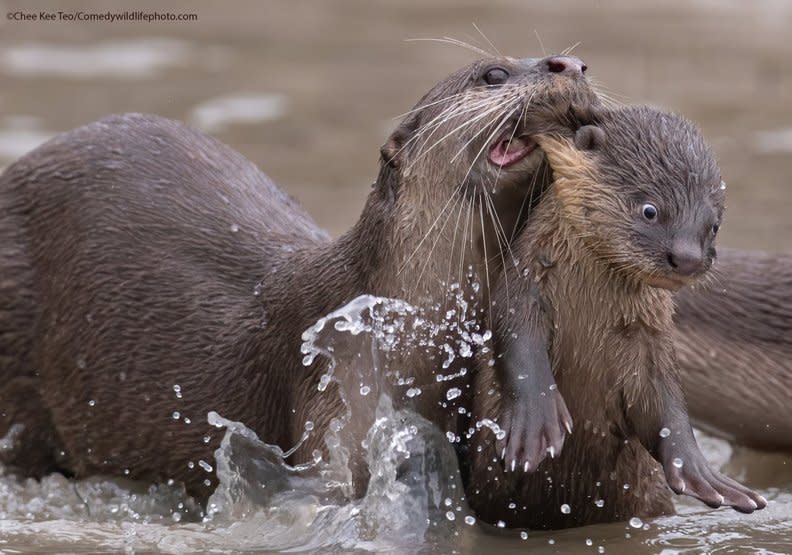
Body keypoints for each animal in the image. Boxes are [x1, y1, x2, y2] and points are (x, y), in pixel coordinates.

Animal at [470, 106, 768, 528]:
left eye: (713, 225)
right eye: (650, 210)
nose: (688, 258)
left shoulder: (649, 337)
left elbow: (664, 401)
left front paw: (701, 472)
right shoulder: (524, 287)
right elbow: (517, 342)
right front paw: (536, 421)